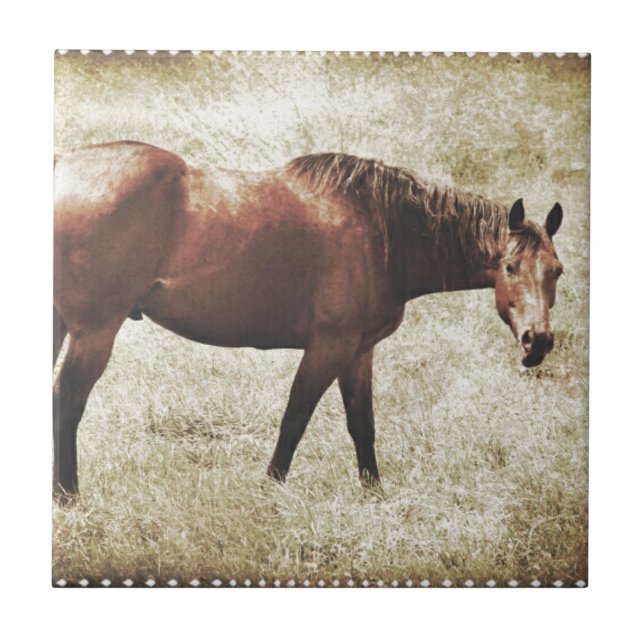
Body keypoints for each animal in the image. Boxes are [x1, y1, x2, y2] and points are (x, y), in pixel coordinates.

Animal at [53, 141, 564, 500]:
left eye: (557, 271)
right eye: (510, 267)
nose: (537, 341)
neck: (382, 232)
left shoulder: (359, 351)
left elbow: (362, 424)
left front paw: (374, 494)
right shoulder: (328, 347)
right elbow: (295, 418)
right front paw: (269, 491)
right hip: (95, 330)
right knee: (68, 399)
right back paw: (68, 496)